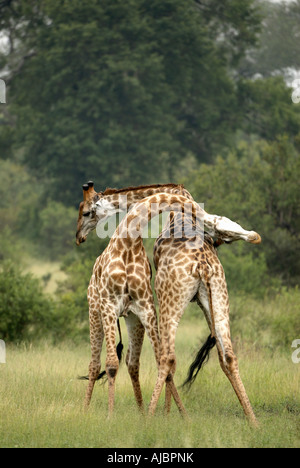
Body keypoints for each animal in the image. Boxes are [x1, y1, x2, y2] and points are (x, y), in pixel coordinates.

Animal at [77, 183, 260, 424]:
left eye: (86, 211)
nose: (78, 236)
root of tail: (203, 266)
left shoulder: (145, 306)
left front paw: (164, 415)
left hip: (163, 303)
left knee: (160, 359)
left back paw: (147, 417)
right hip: (217, 300)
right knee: (227, 356)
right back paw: (253, 422)